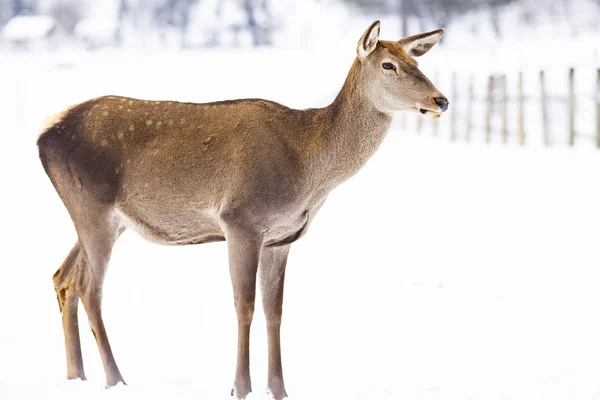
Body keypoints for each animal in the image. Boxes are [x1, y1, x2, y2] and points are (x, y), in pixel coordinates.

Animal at [37, 21, 448, 400]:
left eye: (417, 61)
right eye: (388, 65)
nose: (440, 100)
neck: (308, 171)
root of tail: (43, 135)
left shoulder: (282, 237)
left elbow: (275, 311)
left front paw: (279, 389)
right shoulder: (240, 220)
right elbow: (244, 305)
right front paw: (241, 386)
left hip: (106, 220)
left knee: (63, 276)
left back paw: (77, 376)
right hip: (93, 207)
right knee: (90, 288)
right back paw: (116, 378)